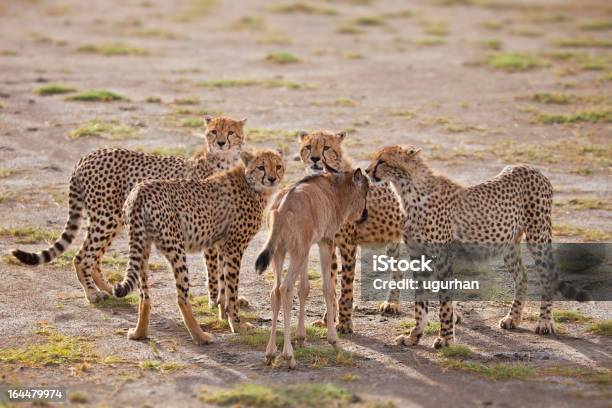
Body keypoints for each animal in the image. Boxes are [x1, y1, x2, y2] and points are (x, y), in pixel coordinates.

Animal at [11, 116, 246, 304]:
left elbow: (224, 270)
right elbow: (214, 269)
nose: (221, 142)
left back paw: (110, 289)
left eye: (230, 132)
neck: (223, 161)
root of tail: (89, 155)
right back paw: (93, 294)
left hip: (115, 219)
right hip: (105, 218)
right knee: (82, 257)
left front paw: (231, 301)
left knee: (94, 259)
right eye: (213, 131)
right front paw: (215, 301)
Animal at [113, 150, 284, 342]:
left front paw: (223, 315)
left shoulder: (222, 246)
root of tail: (140, 190)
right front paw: (236, 324)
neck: (252, 185)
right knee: (181, 297)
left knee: (144, 294)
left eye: (278, 166)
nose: (272, 179)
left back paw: (139, 332)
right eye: (261, 167)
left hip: (143, 245)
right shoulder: (233, 247)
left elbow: (222, 284)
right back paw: (201, 336)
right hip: (176, 248)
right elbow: (231, 288)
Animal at [296, 131, 406, 332]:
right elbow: (330, 284)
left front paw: (345, 322)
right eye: (308, 147)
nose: (315, 159)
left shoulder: (348, 245)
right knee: (398, 266)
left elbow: (346, 287)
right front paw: (327, 319)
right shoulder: (328, 244)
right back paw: (392, 302)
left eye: (326, 147)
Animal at [366, 145, 584, 350]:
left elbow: (444, 302)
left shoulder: (443, 258)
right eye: (374, 158)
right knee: (522, 276)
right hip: (508, 244)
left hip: (538, 236)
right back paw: (513, 318)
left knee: (546, 277)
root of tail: (528, 166)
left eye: (382, 161)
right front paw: (414, 336)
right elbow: (420, 303)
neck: (407, 191)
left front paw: (446, 339)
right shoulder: (419, 257)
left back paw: (545, 322)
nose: (367, 171)